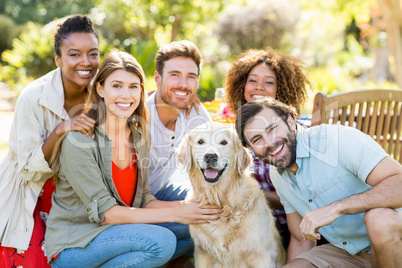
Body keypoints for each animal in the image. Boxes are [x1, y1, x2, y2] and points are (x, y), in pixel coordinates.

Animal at [176, 122, 282, 266]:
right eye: (200, 141)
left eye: (224, 142)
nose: (210, 156)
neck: (222, 200)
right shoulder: (202, 253)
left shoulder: (262, 255)